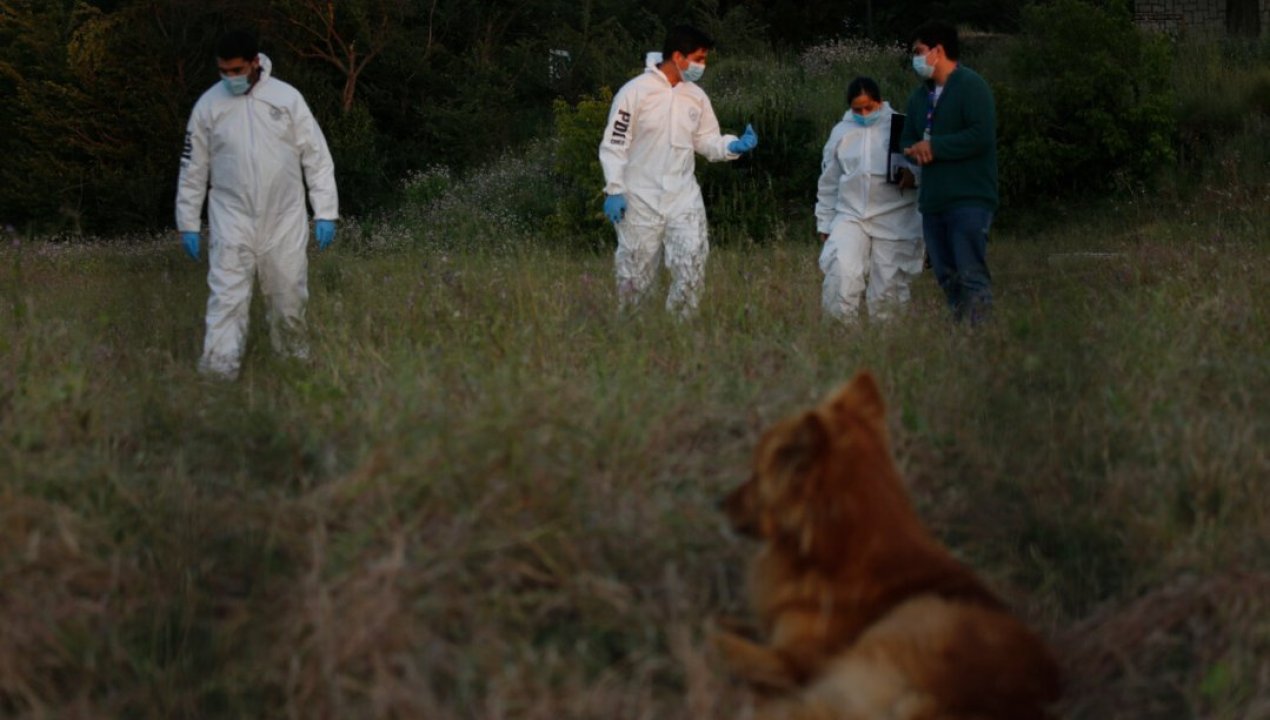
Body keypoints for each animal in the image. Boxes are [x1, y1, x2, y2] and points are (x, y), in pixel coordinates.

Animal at [716, 370, 1061, 720]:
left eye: (755, 476)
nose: (718, 503)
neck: (838, 550)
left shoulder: (798, 660)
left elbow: (737, 644)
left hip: (907, 623)